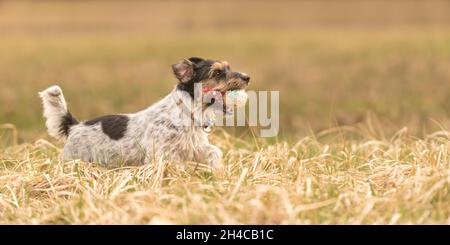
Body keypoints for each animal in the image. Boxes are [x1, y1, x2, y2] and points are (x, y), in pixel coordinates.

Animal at [38, 57, 250, 168]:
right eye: (217, 73)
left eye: (228, 67)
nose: (247, 77)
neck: (188, 114)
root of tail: (74, 126)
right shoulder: (163, 155)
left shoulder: (194, 148)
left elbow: (214, 151)